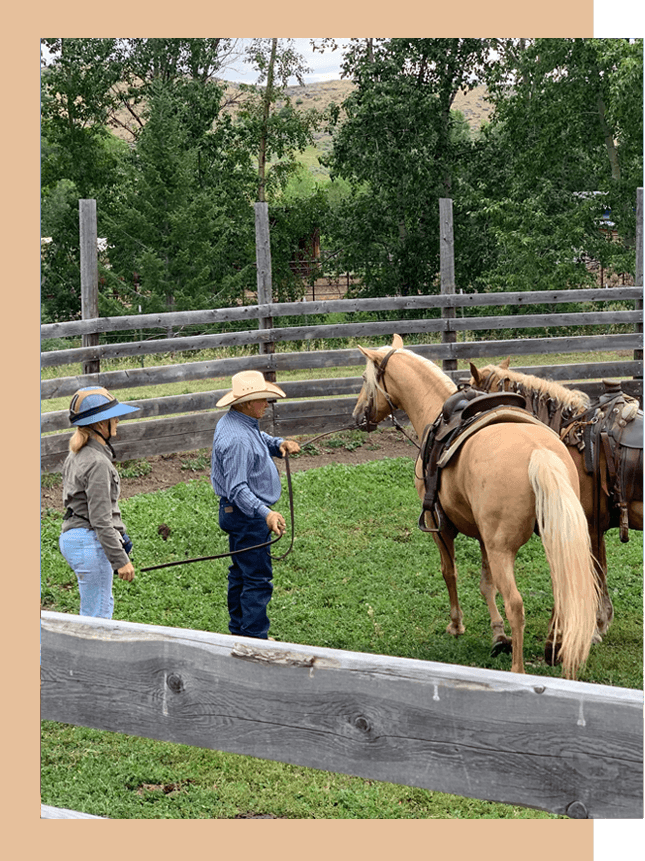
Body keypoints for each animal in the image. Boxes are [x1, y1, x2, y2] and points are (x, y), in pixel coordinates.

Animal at [352, 336, 600, 680]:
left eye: (365, 379)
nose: (357, 415)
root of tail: (539, 453)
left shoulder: (439, 526)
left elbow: (449, 573)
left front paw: (456, 625)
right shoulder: (483, 536)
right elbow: (486, 584)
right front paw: (497, 634)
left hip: (502, 550)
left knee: (516, 604)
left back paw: (518, 669)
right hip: (553, 541)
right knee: (563, 594)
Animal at [468, 360, 644, 640]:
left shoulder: (589, 526)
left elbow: (595, 572)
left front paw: (595, 625)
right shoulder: (595, 528)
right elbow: (600, 571)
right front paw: (601, 621)